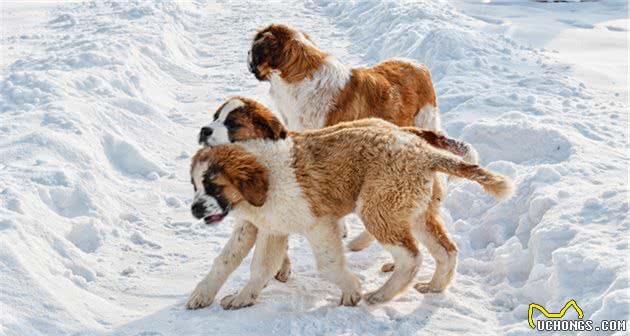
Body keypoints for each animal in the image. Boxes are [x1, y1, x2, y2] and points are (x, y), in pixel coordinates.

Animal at [188, 97, 512, 310]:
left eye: (214, 186)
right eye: (195, 186)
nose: (194, 209)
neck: (267, 174)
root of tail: (423, 150)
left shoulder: (319, 223)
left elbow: (328, 264)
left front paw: (352, 290)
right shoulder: (269, 228)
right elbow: (246, 264)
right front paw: (236, 296)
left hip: (379, 207)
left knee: (412, 256)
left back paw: (381, 294)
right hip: (414, 211)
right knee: (446, 251)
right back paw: (433, 286)